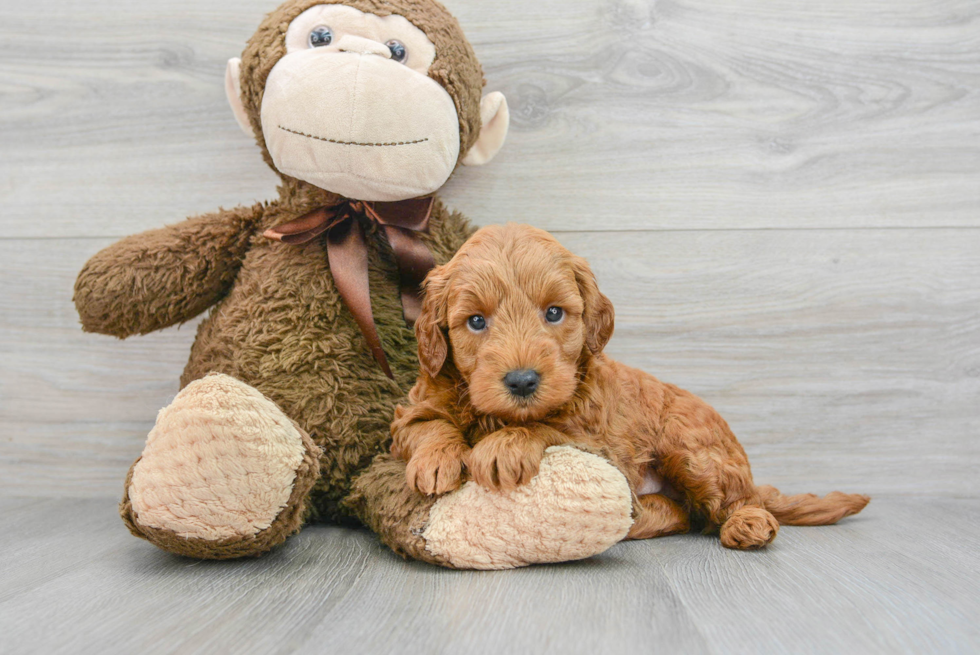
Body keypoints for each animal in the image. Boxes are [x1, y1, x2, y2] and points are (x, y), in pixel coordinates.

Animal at [388, 224, 864, 548]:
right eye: (476, 321)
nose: (522, 380)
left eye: (554, 313)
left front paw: (504, 445)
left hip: (692, 448)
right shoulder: (416, 406)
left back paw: (747, 522)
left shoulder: (597, 439)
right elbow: (425, 425)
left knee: (731, 502)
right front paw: (436, 459)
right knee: (683, 514)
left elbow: (547, 426)